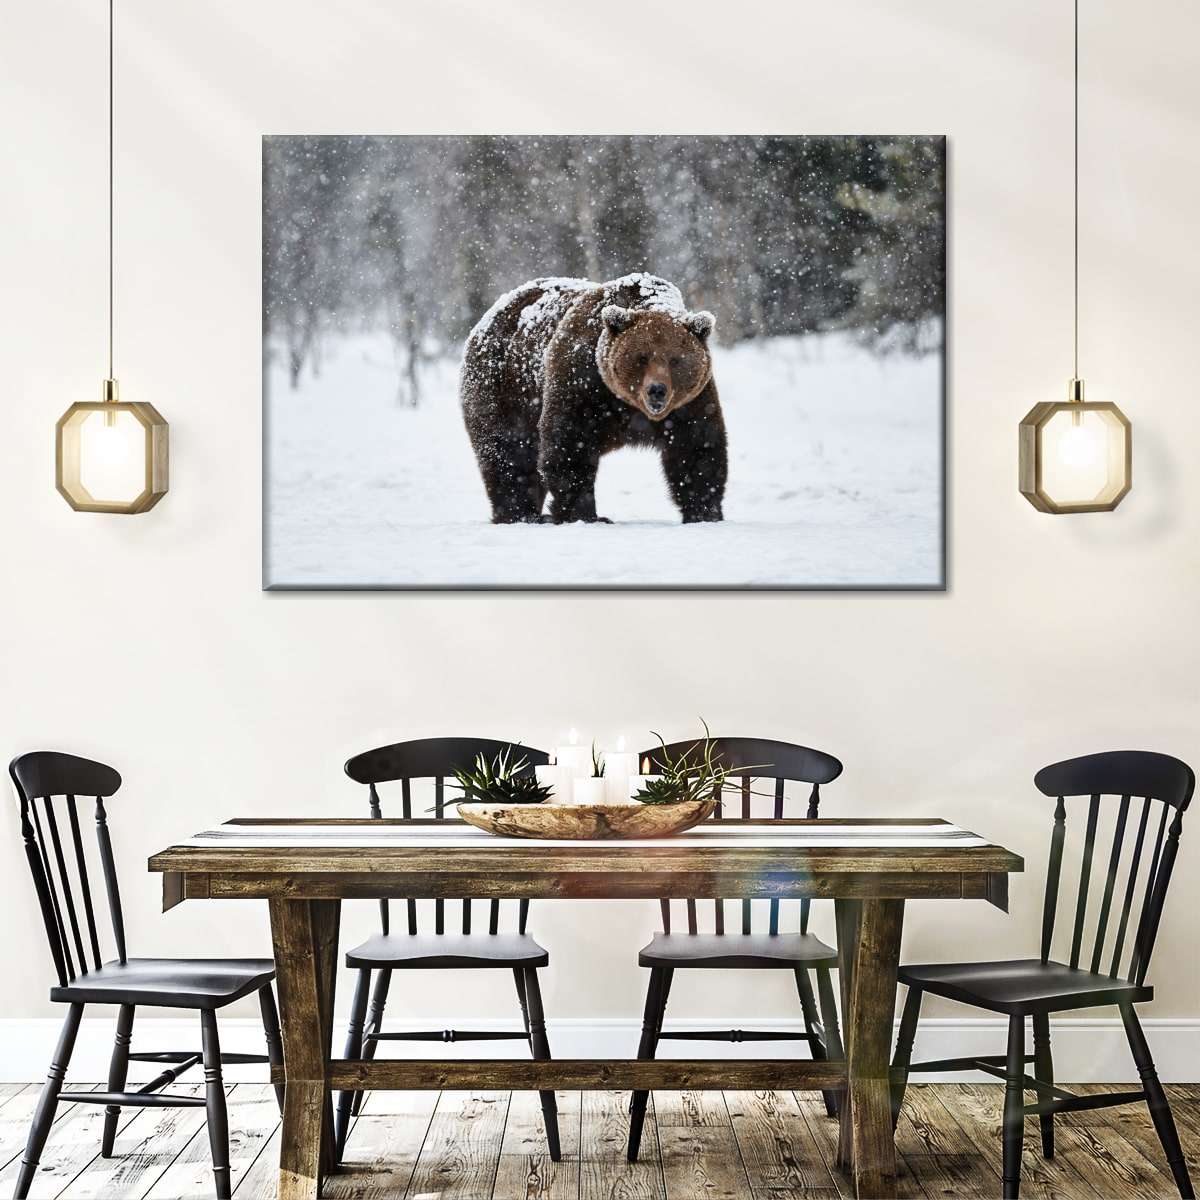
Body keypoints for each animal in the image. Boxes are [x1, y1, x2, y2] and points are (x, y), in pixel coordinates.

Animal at [460, 272, 726, 524]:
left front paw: (705, 512)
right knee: (510, 455)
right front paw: (585, 514)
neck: (627, 405)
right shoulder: (582, 382)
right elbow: (569, 445)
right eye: (641, 357)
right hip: (504, 389)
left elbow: (697, 448)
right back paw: (520, 514)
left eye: (675, 360)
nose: (657, 390)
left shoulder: (690, 402)